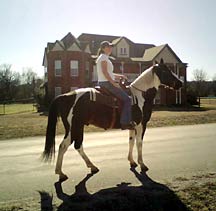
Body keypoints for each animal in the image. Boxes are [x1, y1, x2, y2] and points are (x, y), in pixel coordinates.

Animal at [41, 58, 182, 181]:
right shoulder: (141, 125)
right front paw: (142, 164)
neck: (140, 95)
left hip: (76, 127)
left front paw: (132, 162)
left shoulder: (132, 126)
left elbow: (131, 142)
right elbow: (139, 143)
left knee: (73, 146)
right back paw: (63, 172)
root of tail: (66, 96)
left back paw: (88, 167)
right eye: (166, 71)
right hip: (74, 127)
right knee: (67, 146)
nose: (180, 83)